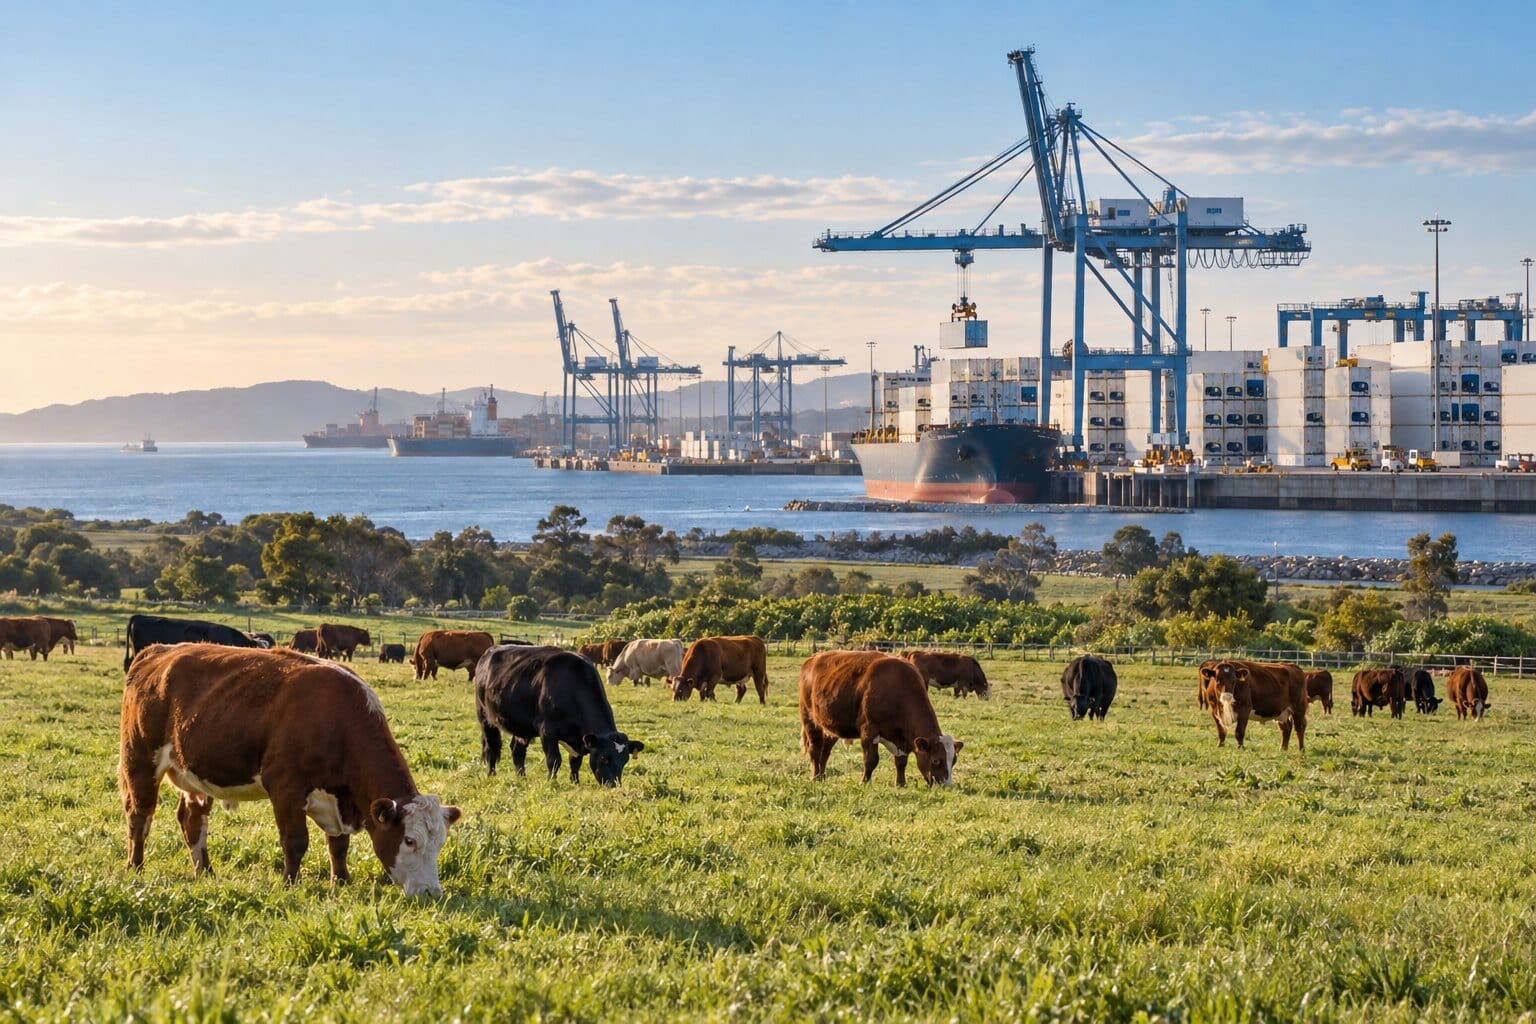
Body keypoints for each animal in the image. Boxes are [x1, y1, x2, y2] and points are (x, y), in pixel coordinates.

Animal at [119, 644, 461, 895]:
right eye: (409, 840)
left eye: (440, 843)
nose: (431, 892)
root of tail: (159, 650)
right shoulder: (285, 789)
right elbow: (295, 842)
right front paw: (290, 884)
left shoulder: (336, 799)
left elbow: (339, 845)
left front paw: (341, 881)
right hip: (140, 760)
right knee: (140, 815)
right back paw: (135, 867)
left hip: (194, 776)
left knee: (193, 820)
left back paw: (204, 870)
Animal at [474, 644, 644, 785]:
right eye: (604, 757)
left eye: (625, 760)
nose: (614, 784)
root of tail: (490, 650)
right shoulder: (547, 731)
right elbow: (554, 760)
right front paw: (552, 781)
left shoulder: (580, 738)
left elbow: (575, 761)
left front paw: (575, 782)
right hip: (485, 717)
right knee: (491, 747)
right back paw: (491, 774)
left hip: (521, 726)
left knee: (517, 750)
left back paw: (521, 777)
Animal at [798, 650, 962, 787]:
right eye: (936, 760)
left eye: (954, 760)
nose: (947, 786)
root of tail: (813, 658)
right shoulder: (868, 731)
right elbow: (871, 760)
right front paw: (864, 782)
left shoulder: (901, 740)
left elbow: (901, 762)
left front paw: (901, 784)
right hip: (809, 719)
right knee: (815, 749)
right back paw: (815, 777)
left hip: (830, 727)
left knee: (825, 752)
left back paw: (822, 776)